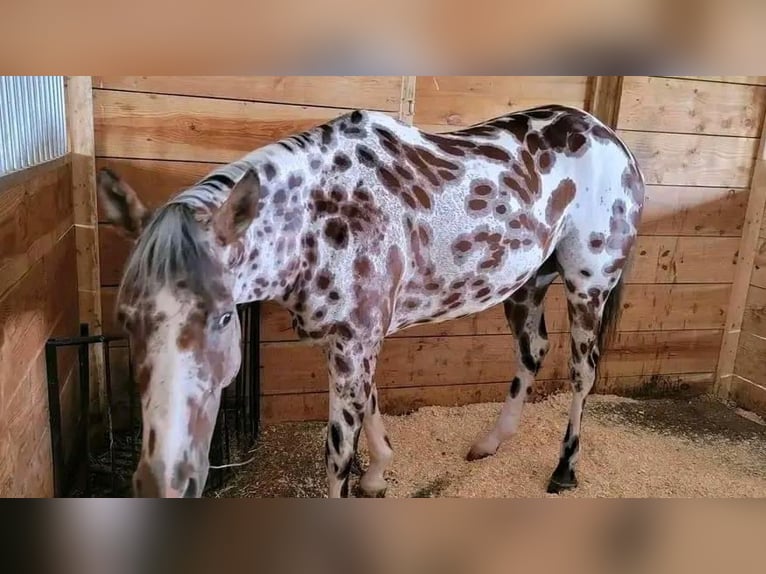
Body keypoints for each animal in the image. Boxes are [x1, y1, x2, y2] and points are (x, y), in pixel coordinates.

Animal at [97, 104, 645, 498]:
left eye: (225, 317)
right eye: (125, 318)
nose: (164, 481)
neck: (321, 219)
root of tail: (610, 137)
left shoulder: (354, 342)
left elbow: (338, 454)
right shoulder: (350, 340)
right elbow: (372, 409)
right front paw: (379, 474)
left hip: (587, 285)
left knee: (583, 372)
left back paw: (565, 470)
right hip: (528, 284)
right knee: (532, 354)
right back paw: (488, 444)